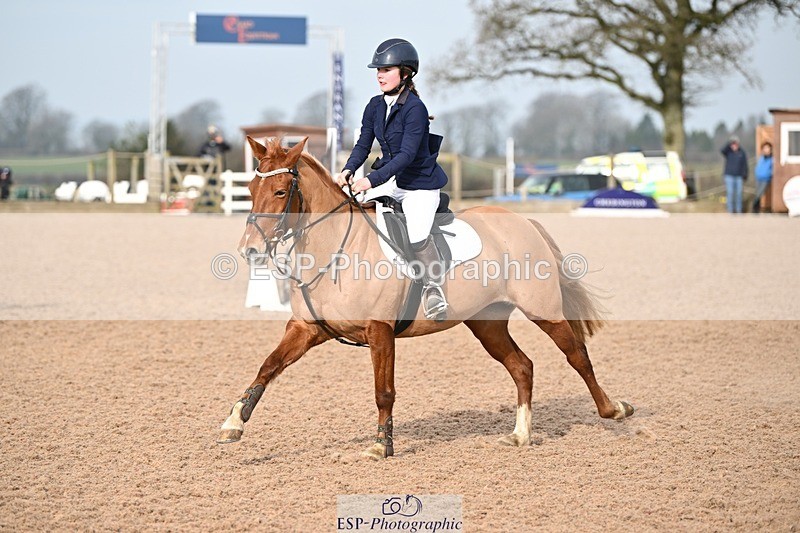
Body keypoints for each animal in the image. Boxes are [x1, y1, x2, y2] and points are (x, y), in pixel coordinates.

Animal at [218, 136, 634, 459]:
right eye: (250, 192)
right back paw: (520, 434)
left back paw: (614, 409)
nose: (249, 250)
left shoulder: (380, 331)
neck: (336, 249)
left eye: (280, 191)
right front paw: (233, 423)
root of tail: (523, 222)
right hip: (487, 323)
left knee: (577, 355)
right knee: (522, 366)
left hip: (543, 311)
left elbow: (384, 392)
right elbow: (268, 367)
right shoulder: (306, 328)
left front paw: (381, 446)